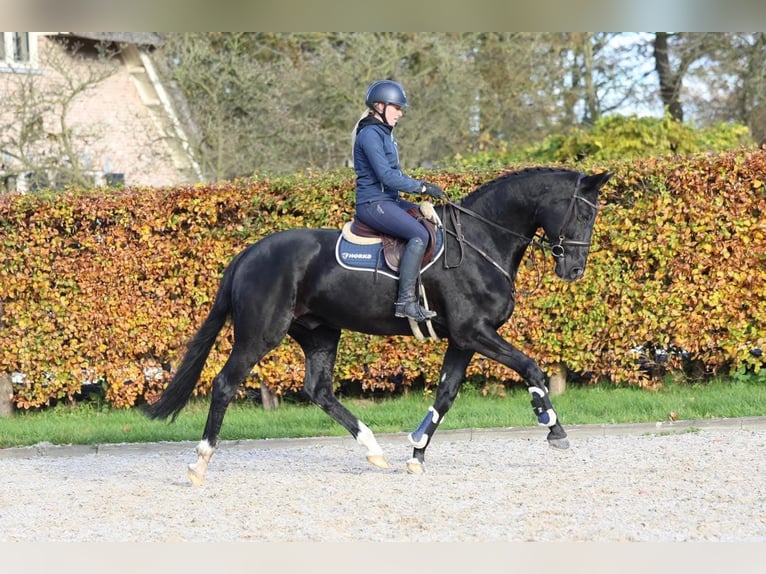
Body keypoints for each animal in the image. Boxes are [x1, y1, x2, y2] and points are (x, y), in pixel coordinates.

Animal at [146, 167, 612, 484]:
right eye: (581, 213)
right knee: (226, 383)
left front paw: (417, 452)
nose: (574, 269)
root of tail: (249, 253)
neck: (480, 243)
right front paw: (554, 428)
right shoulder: (475, 333)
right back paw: (200, 461)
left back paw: (373, 449)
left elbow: (445, 396)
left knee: (318, 390)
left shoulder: (463, 340)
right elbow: (531, 367)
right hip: (262, 333)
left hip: (320, 332)